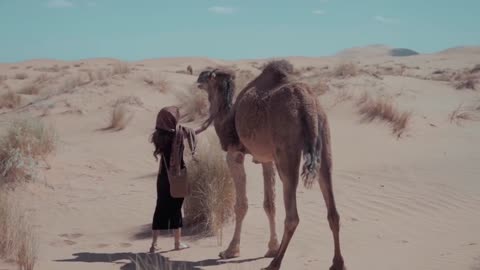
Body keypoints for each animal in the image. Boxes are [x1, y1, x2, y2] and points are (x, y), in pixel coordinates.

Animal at [195, 60, 344, 268]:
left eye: (209, 75)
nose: (198, 78)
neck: (227, 118)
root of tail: (306, 104)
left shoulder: (234, 153)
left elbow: (241, 204)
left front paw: (230, 250)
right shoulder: (267, 159)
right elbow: (269, 204)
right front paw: (272, 248)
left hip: (287, 148)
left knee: (292, 215)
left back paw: (275, 263)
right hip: (324, 138)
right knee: (332, 209)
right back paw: (337, 263)